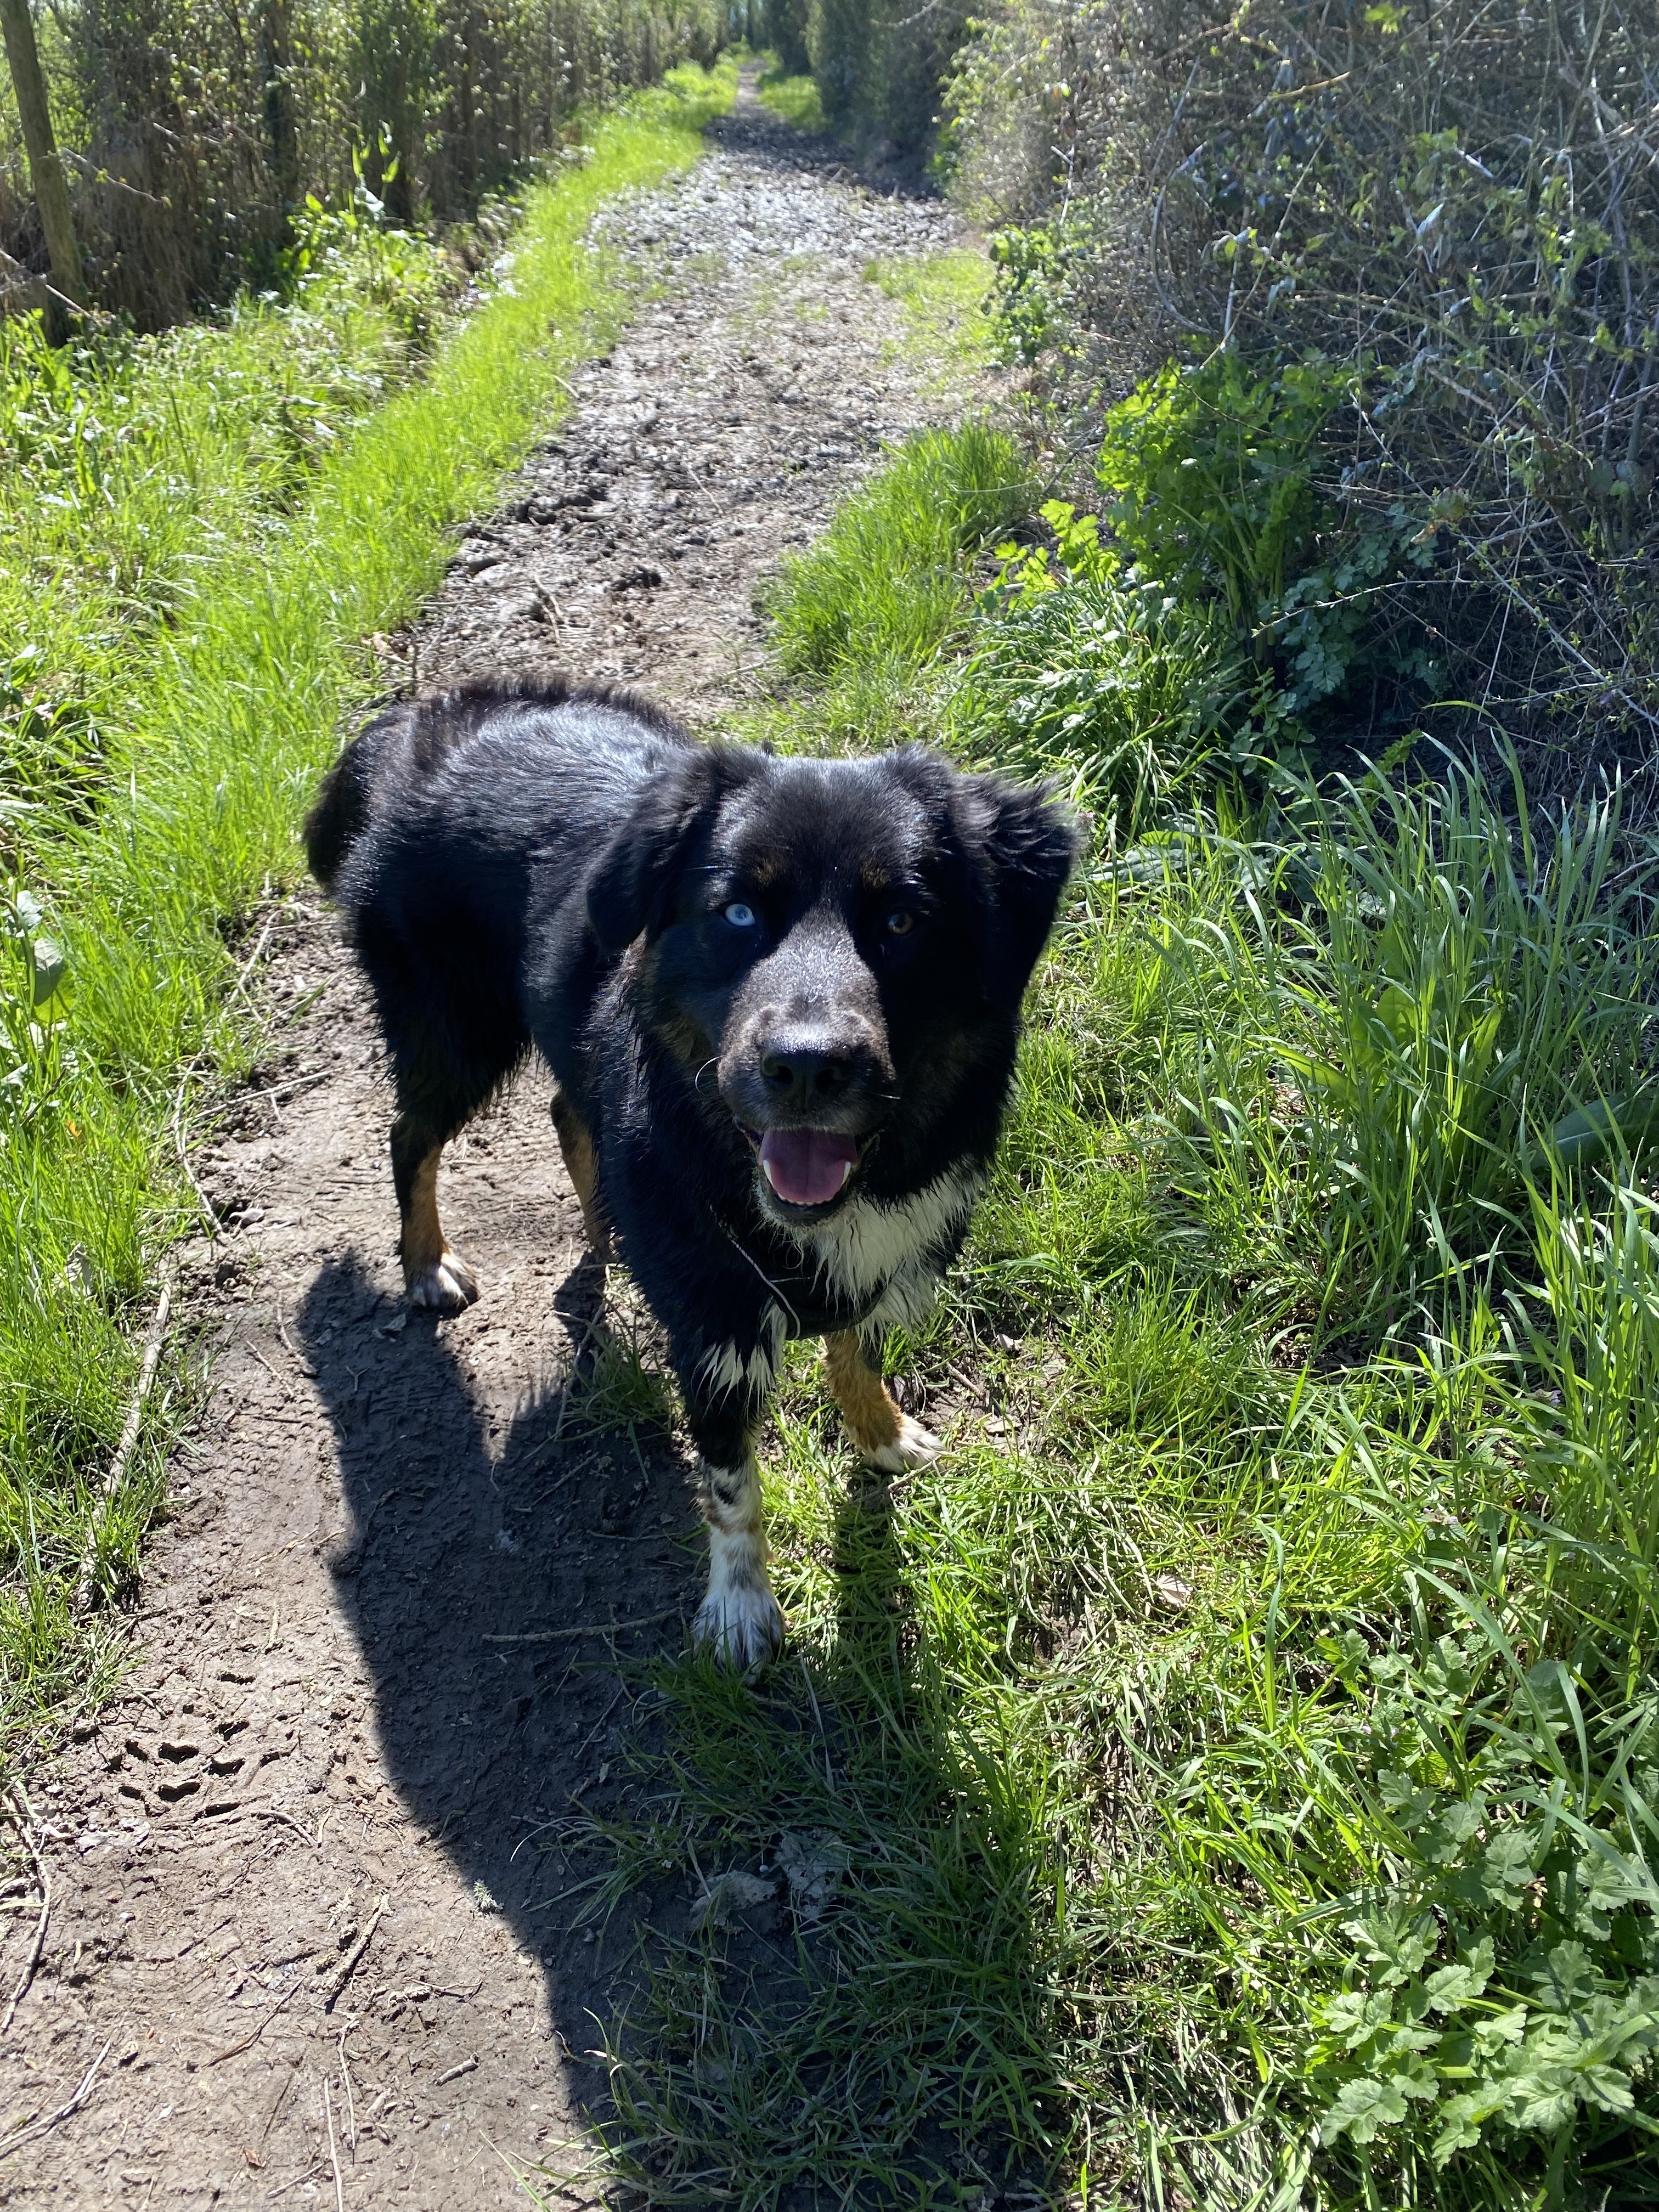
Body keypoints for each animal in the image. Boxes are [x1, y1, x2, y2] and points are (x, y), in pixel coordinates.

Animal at [305, 678, 1078, 1667]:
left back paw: (603, 1230)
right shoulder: (713, 1336)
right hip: (453, 1027)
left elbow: (855, 1351)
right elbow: (732, 1483)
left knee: (567, 1112)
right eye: (737, 913)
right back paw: (425, 1262)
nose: (806, 1067)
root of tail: (419, 719)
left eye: (904, 920)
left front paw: (879, 1432)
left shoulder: (880, 1259)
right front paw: (741, 1611)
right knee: (410, 1136)